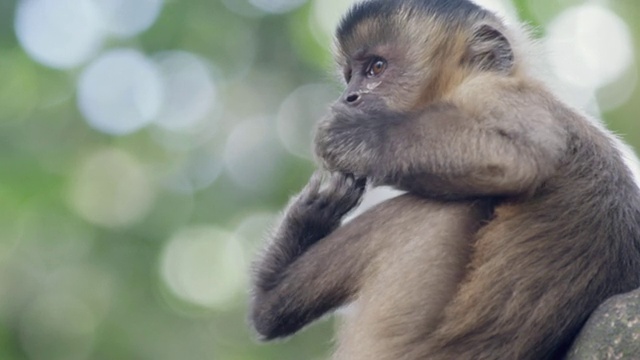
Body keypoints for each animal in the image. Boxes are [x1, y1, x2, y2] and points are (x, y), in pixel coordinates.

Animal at [250, 0, 640, 360]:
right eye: (350, 76)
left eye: (376, 68)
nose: (349, 97)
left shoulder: (495, 93)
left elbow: (519, 158)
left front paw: (358, 137)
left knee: (440, 209)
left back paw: (268, 297)